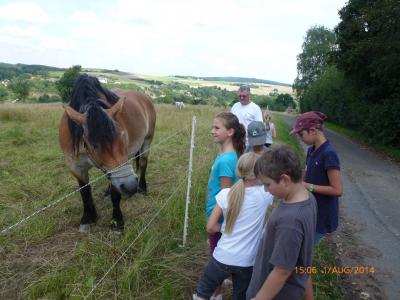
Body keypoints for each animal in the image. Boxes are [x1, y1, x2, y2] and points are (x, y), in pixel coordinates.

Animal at [59, 74, 156, 232]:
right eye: (93, 144)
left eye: (123, 136)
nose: (131, 186)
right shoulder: (76, 167)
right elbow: (85, 192)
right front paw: (88, 218)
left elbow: (116, 196)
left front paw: (116, 222)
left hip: (147, 141)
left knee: (143, 164)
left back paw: (143, 187)